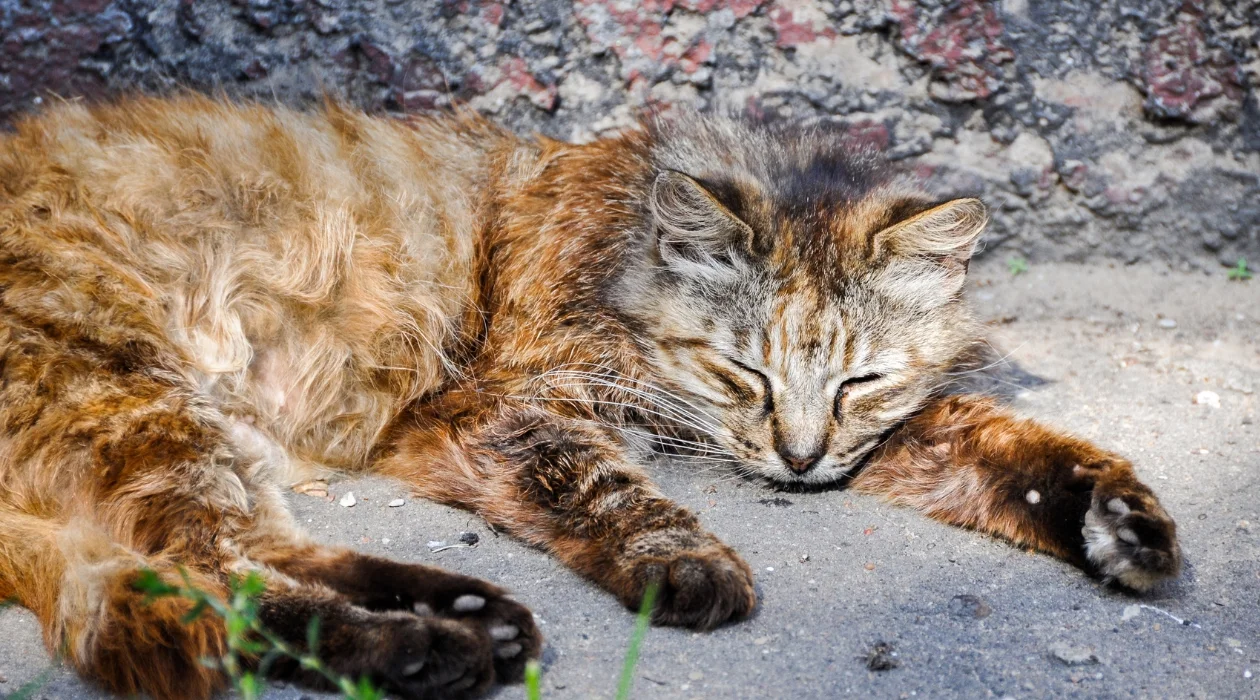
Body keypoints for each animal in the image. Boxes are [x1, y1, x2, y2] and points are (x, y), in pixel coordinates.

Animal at [0, 94, 1179, 700]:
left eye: (859, 381)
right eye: (744, 371)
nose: (798, 465)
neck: (627, 251)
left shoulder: (886, 432)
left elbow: (1009, 447)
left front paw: (1116, 518)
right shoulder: (498, 407)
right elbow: (608, 488)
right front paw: (687, 565)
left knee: (244, 555)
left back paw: (461, 614)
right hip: (140, 401)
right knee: (215, 573)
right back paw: (426, 648)